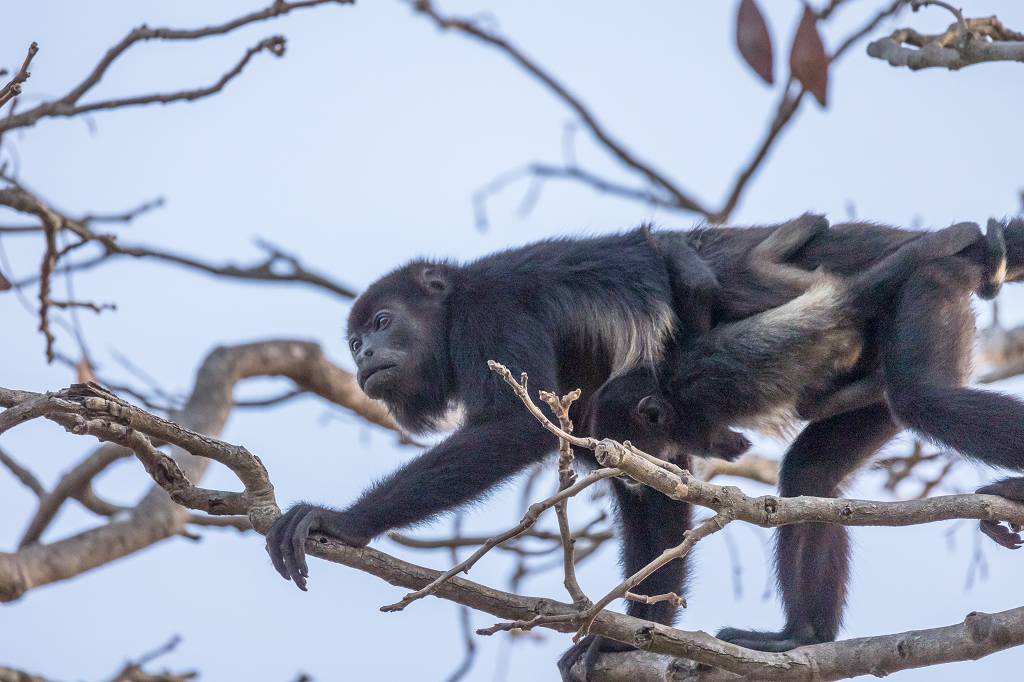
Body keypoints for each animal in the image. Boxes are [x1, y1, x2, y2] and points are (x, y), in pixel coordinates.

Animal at [266, 216, 1024, 675]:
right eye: (354, 341)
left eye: (382, 323)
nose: (365, 357)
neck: (451, 310)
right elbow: (648, 473)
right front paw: (626, 633)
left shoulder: (494, 314)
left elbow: (513, 429)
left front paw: (345, 521)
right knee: (814, 471)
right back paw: (803, 638)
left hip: (931, 289)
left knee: (929, 398)